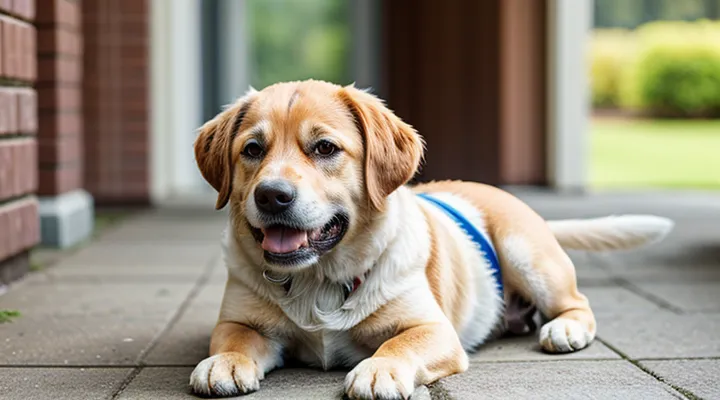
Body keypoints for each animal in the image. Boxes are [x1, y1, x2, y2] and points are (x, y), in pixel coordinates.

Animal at [188, 79, 672, 398]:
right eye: (252, 150)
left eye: (325, 148)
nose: (272, 195)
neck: (319, 281)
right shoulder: (237, 320)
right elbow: (235, 338)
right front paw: (224, 364)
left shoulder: (433, 328)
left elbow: (397, 343)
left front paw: (379, 369)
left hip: (527, 255)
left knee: (578, 303)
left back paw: (565, 328)